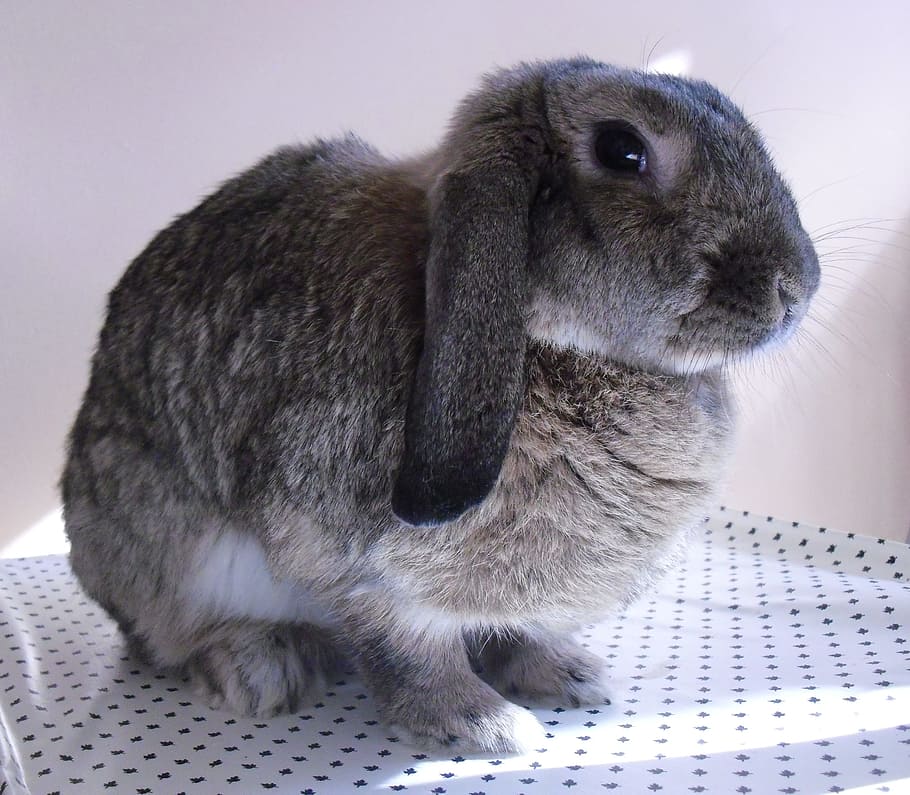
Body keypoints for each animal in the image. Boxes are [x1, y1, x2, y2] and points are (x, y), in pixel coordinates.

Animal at [62, 56, 819, 754]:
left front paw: (567, 674)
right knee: (169, 636)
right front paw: (484, 724)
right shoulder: (360, 567)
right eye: (622, 150)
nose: (797, 287)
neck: (544, 337)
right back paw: (260, 666)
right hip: (171, 553)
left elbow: (512, 631)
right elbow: (410, 651)